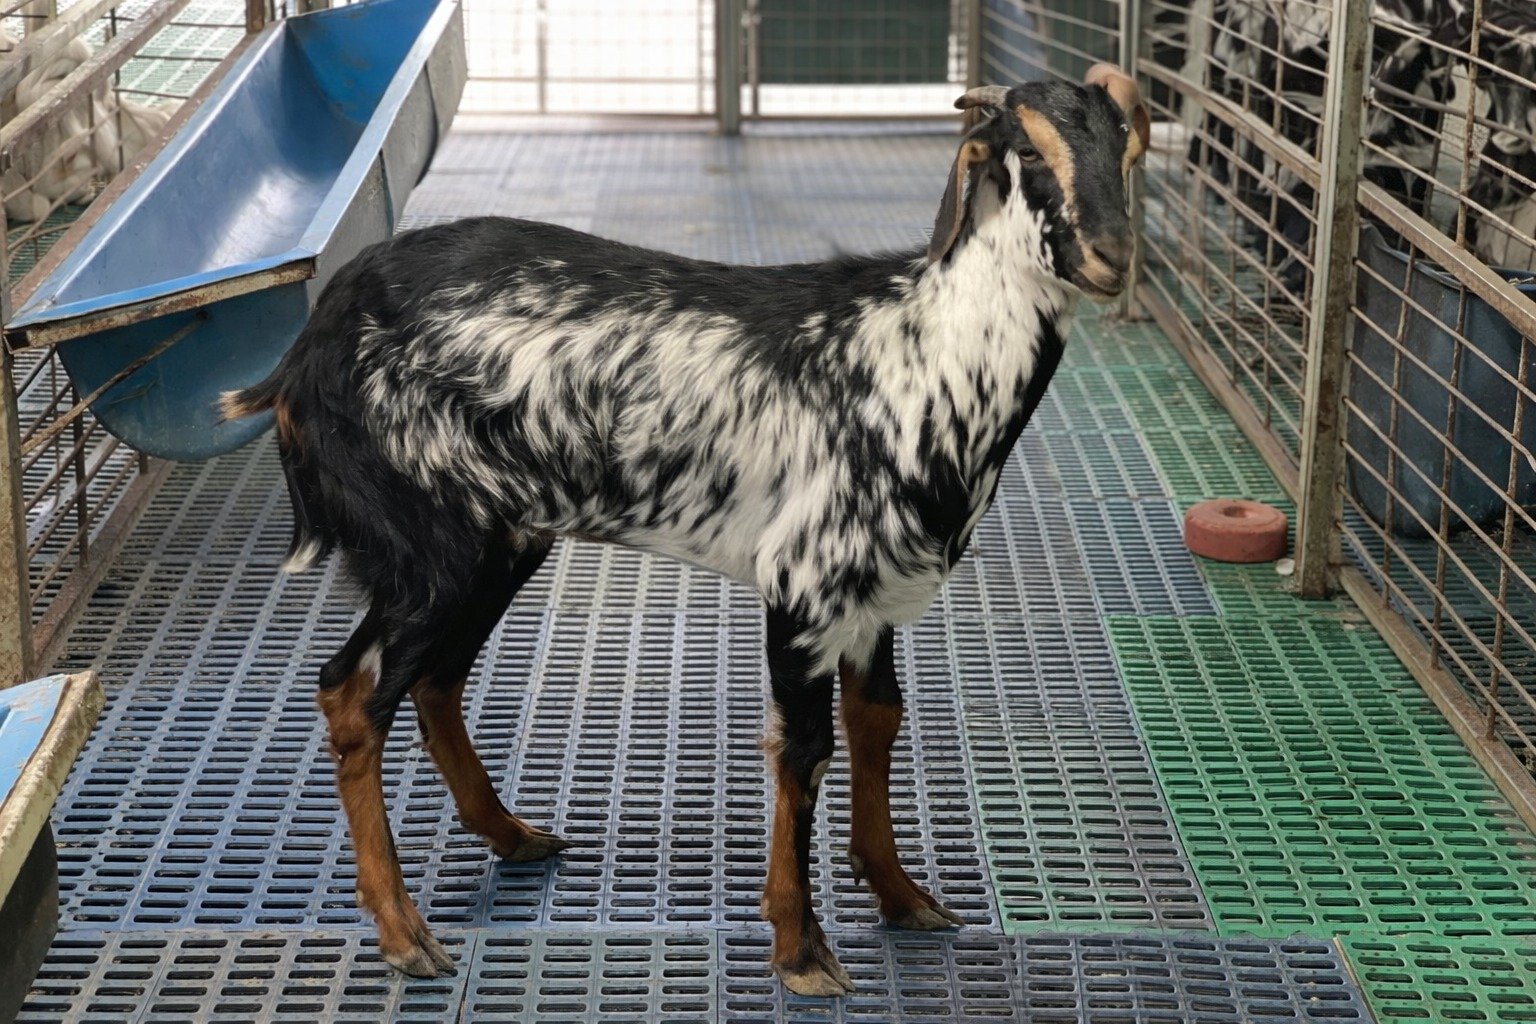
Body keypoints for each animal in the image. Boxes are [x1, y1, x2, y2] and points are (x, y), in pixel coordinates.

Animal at [220, 66, 1149, 997]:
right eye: (1029, 153)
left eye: (1130, 148)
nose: (1114, 259)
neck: (924, 363)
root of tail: (304, 353)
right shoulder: (804, 587)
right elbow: (803, 749)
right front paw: (800, 949)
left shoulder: (873, 598)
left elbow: (878, 721)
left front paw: (901, 893)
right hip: (427, 545)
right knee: (352, 692)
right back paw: (402, 931)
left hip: (499, 540)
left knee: (434, 681)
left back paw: (513, 837)